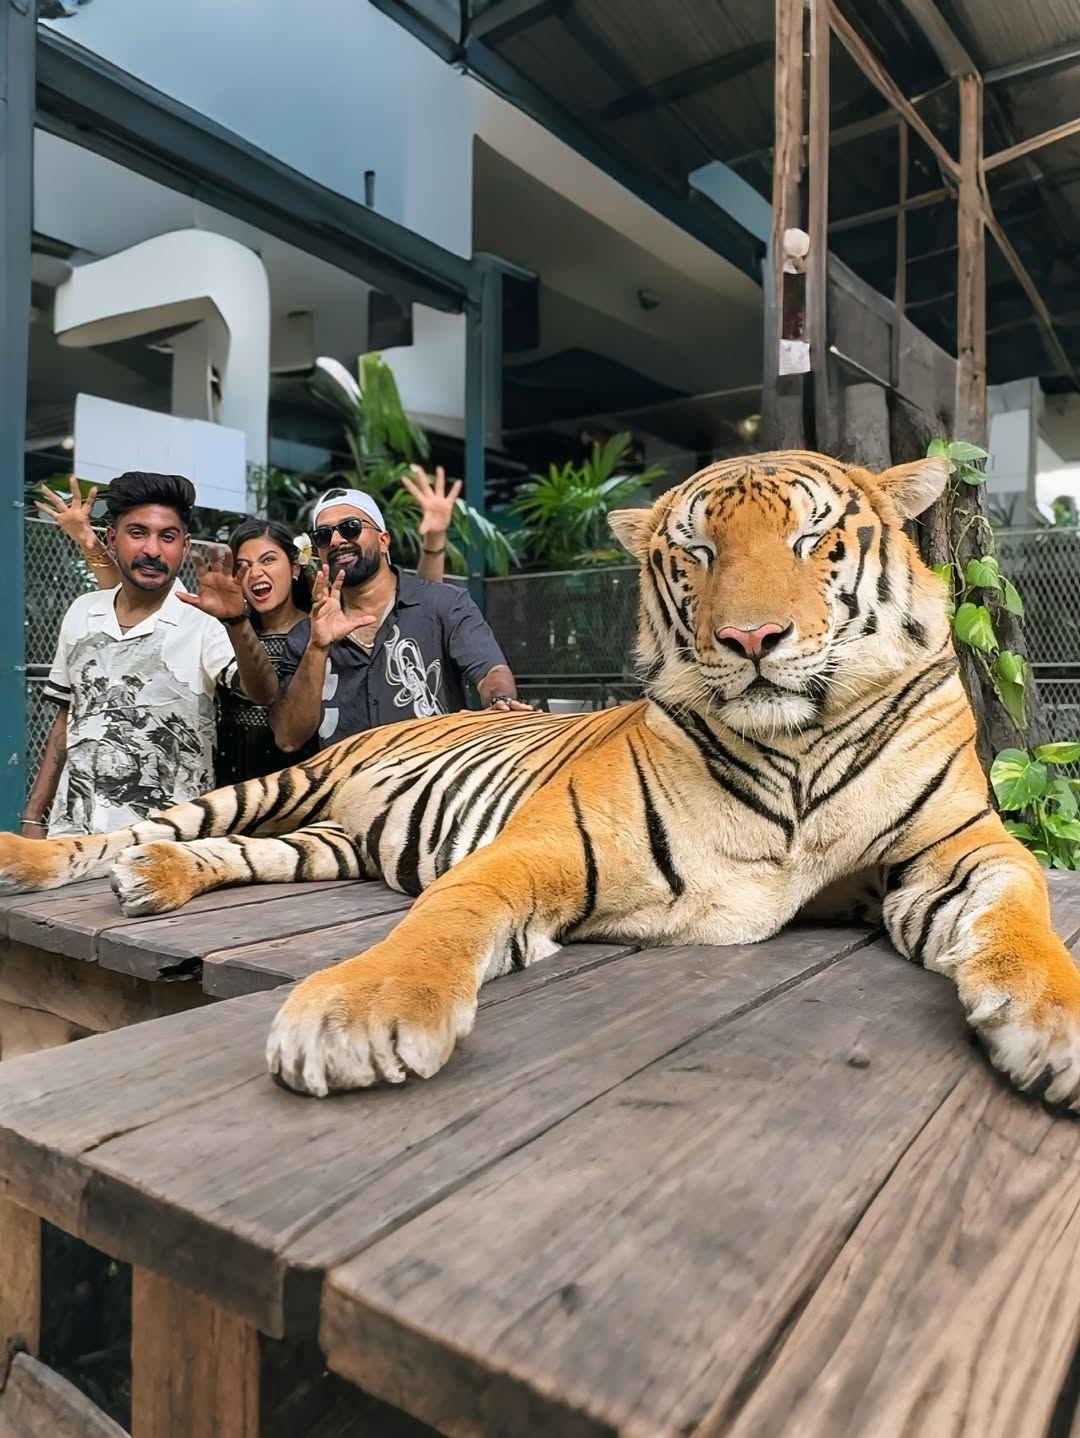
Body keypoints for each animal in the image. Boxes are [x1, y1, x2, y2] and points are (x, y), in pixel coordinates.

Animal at [2, 449, 1078, 1107]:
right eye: (697, 551)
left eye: (813, 542)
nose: (753, 639)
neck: (798, 744)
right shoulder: (546, 840)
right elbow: (445, 916)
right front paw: (358, 1012)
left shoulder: (960, 848)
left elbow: (1020, 912)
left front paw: (1055, 1021)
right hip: (274, 786)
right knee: (131, 827)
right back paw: (39, 857)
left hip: (319, 841)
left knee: (216, 850)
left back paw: (155, 880)